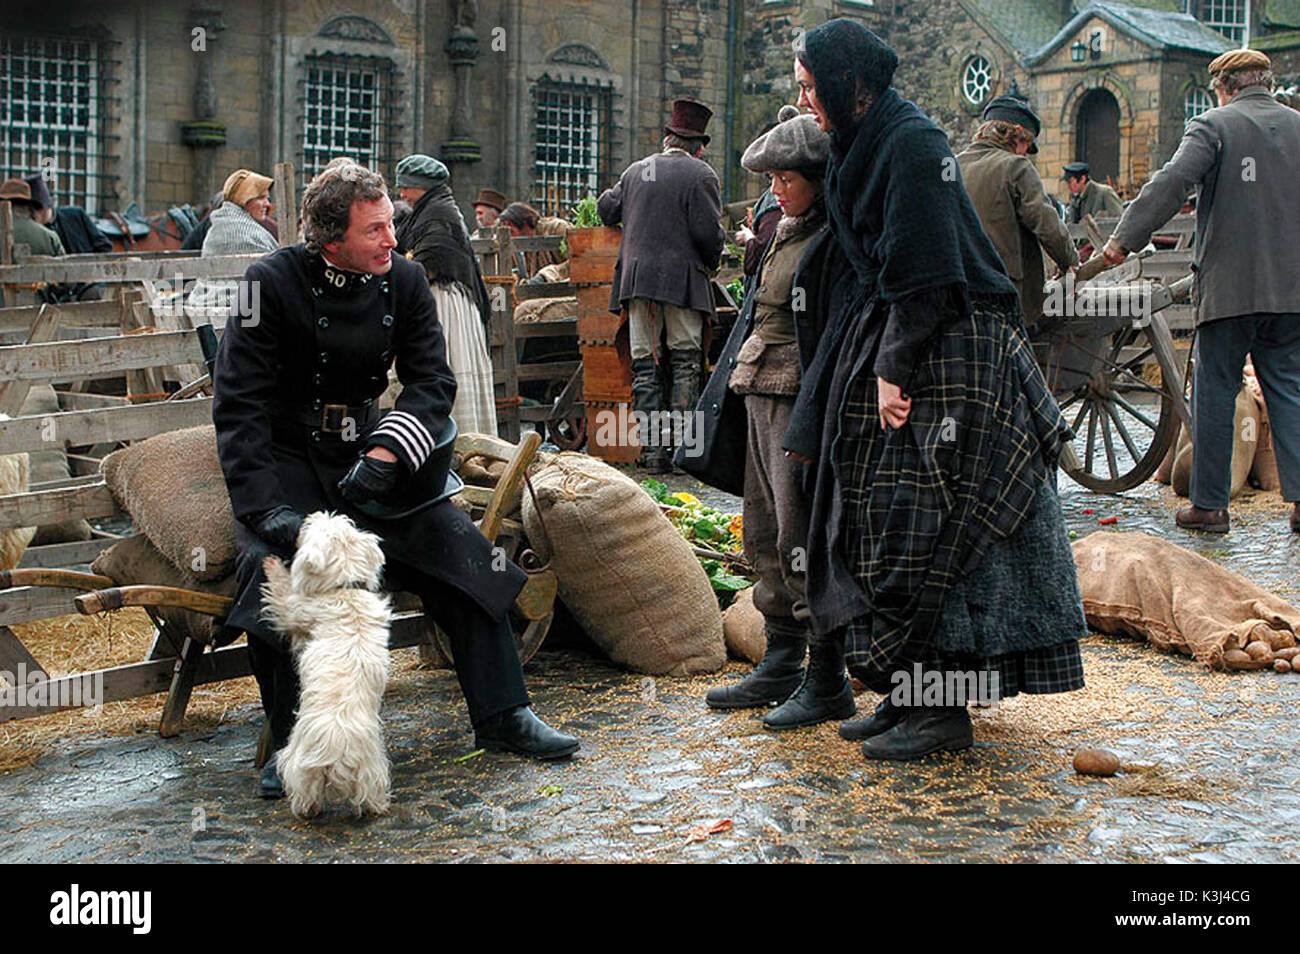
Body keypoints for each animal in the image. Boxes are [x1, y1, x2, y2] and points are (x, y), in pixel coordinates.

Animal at [258, 512, 390, 816]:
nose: (311, 514)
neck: (345, 589)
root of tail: (336, 747)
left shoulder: (295, 611)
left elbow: (281, 594)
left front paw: (272, 564)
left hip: (298, 757)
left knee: (303, 788)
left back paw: (305, 808)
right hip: (371, 765)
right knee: (371, 789)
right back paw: (377, 807)